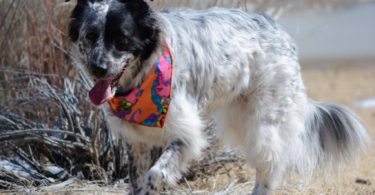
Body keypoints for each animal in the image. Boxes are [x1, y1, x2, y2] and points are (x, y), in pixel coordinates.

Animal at [67, 0, 370, 194]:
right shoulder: (136, 142)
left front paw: (160, 181)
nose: (97, 68)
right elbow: (138, 181)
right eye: (90, 35)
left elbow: (157, 173)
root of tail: (277, 28)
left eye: (122, 38)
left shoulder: (185, 133)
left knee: (270, 167)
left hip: (262, 122)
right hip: (239, 116)